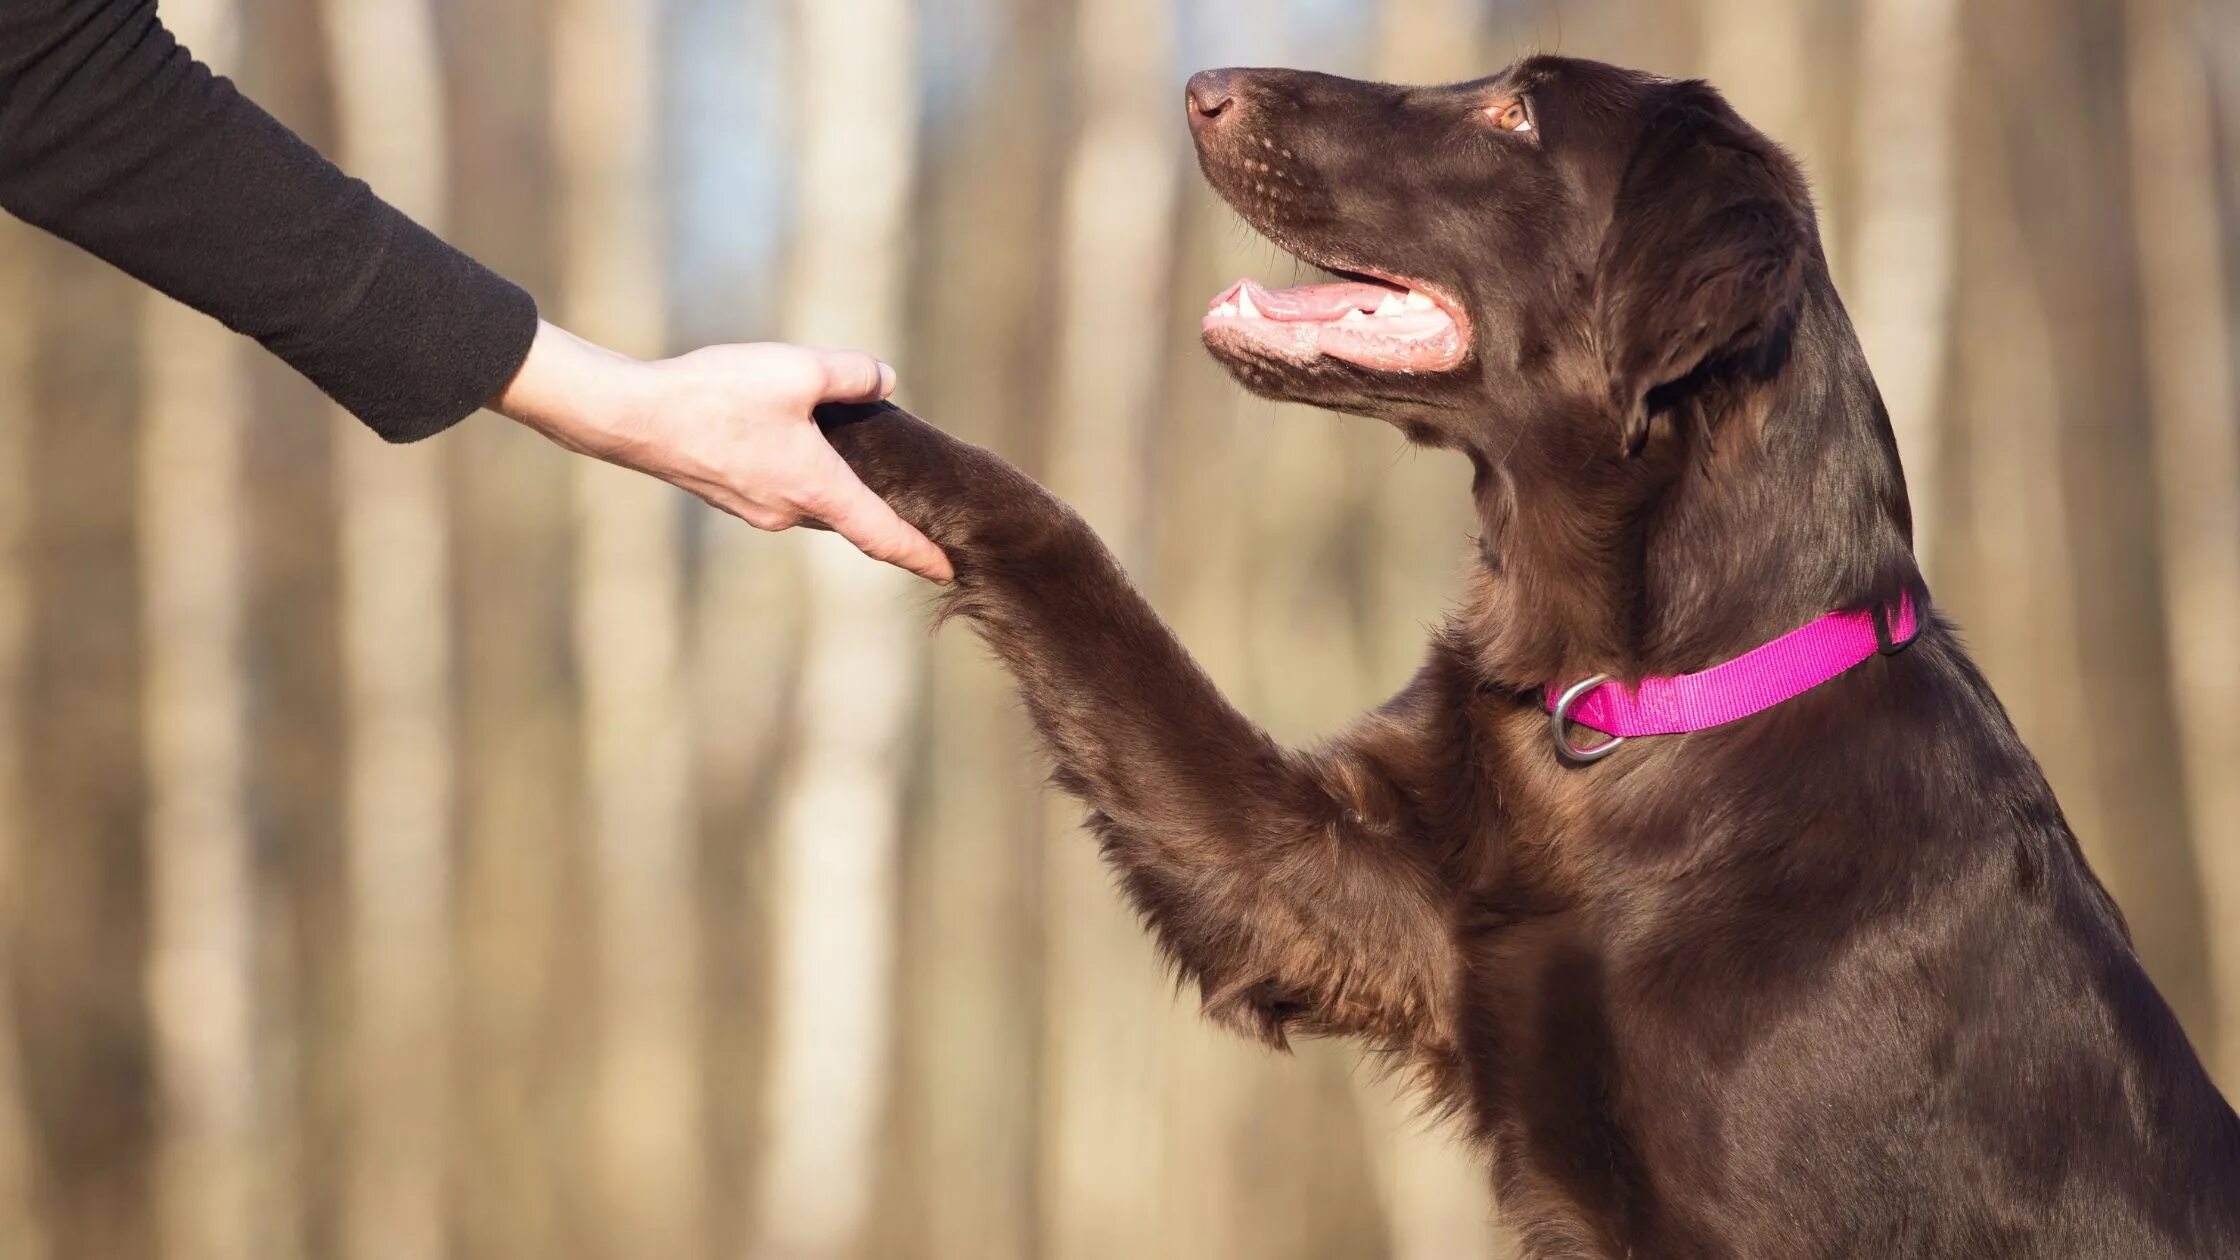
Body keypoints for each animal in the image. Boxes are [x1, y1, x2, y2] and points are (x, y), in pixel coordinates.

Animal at [815, 56, 2240, 1255]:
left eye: (1512, 116)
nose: (1204, 86)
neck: (1640, 704)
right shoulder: (1324, 885)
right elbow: (1067, 560)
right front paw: (841, 415)